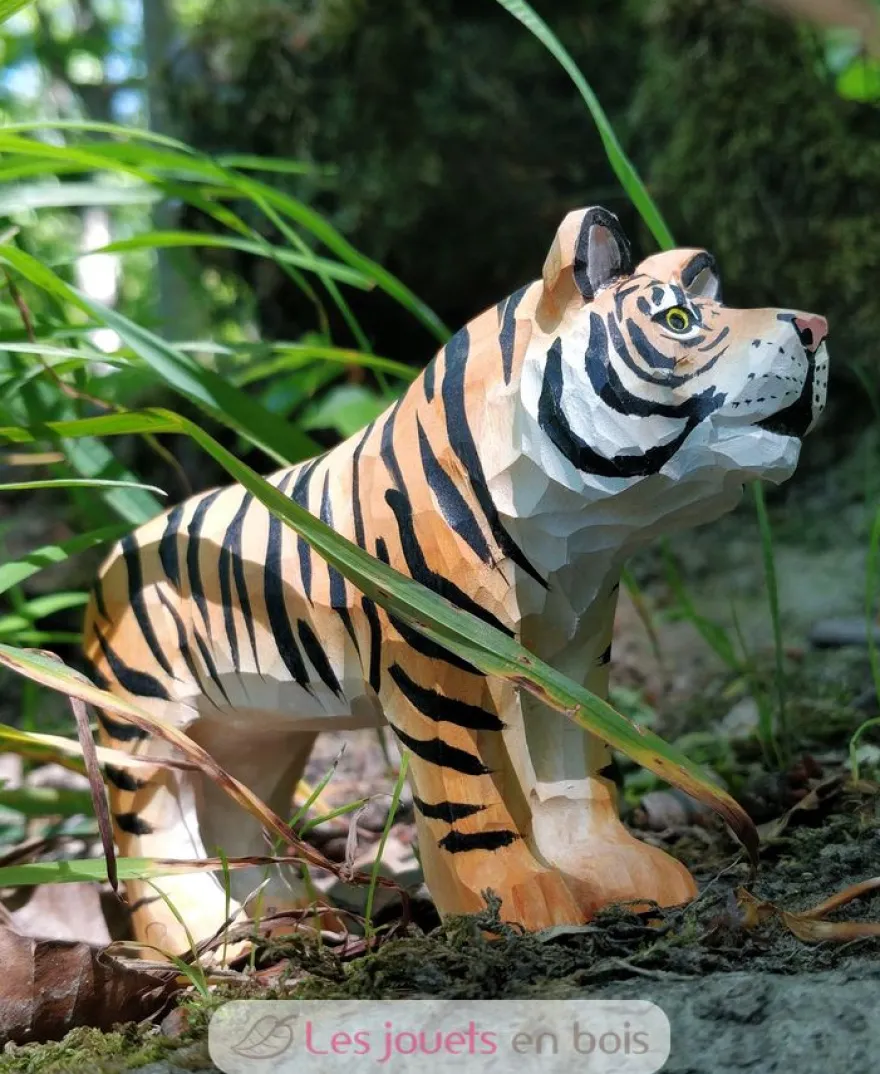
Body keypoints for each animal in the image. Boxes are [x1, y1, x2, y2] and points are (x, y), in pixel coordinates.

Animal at [83, 206, 829, 953]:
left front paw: (617, 871)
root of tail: (110, 558)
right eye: (677, 320)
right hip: (145, 729)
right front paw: (516, 903)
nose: (819, 326)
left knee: (234, 812)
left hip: (256, 732)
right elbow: (471, 796)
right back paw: (201, 932)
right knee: (153, 834)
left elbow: (575, 771)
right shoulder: (442, 663)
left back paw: (291, 920)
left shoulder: (570, 649)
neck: (573, 531)